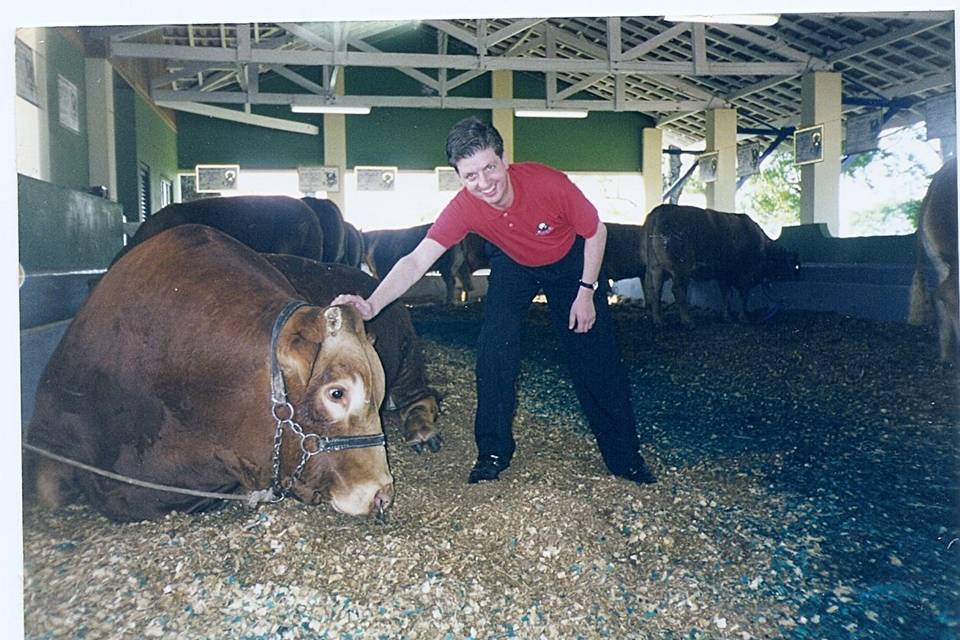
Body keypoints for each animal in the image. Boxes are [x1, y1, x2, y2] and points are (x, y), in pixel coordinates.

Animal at [640, 205, 800, 324]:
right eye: (794, 264)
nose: (796, 274)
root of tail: (661, 210)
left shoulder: (724, 276)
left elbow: (727, 295)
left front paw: (726, 316)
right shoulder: (745, 277)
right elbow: (743, 296)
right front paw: (743, 317)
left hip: (655, 269)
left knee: (654, 291)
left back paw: (659, 320)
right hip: (681, 271)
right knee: (678, 291)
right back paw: (687, 321)